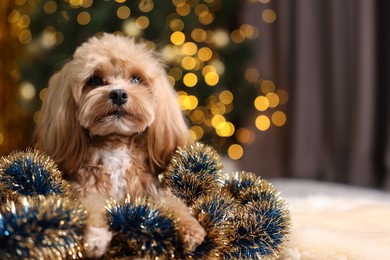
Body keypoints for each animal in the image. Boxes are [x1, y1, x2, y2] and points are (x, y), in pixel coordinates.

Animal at [34, 33, 206, 258]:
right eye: (94, 80)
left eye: (136, 79)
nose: (118, 94)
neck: (115, 145)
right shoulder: (83, 189)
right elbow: (90, 205)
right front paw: (96, 236)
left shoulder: (147, 190)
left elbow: (170, 200)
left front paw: (190, 227)